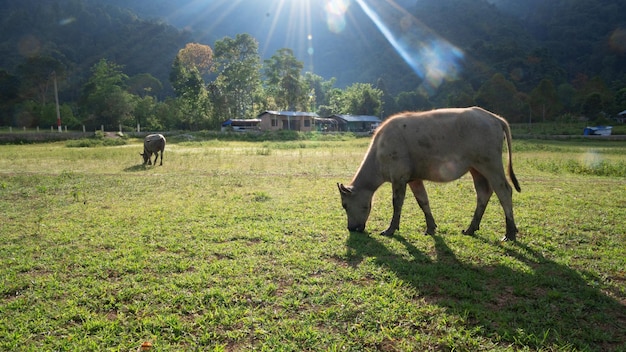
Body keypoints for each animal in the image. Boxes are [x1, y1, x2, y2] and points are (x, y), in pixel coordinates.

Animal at [338, 106, 520, 241]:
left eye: (344, 205)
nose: (350, 228)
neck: (378, 153)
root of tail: (494, 118)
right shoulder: (414, 179)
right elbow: (423, 201)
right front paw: (431, 228)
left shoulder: (399, 177)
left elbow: (397, 203)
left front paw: (390, 230)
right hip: (476, 168)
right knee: (483, 192)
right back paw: (471, 228)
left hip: (491, 164)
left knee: (504, 191)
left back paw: (510, 232)